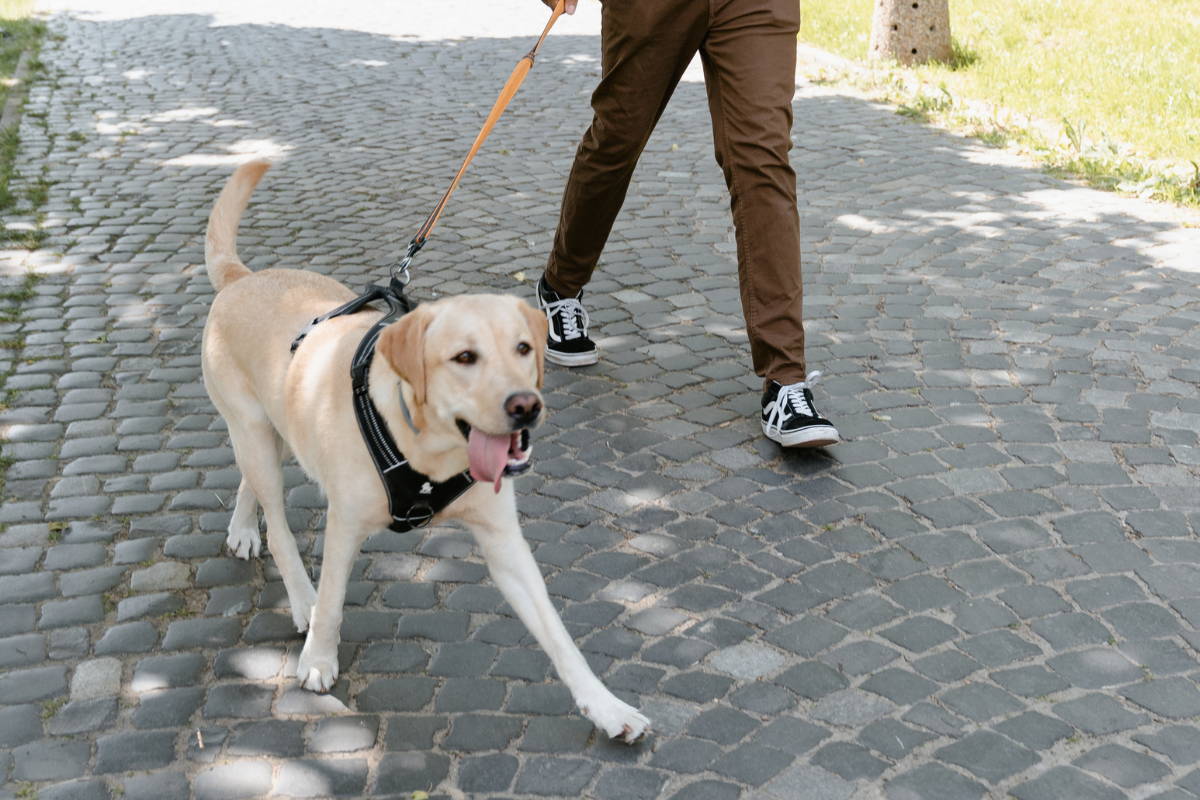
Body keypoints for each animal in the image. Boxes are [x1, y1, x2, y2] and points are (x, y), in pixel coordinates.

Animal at [199, 160, 648, 743]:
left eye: (524, 348)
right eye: (464, 357)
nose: (526, 406)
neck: (432, 448)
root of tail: (242, 277)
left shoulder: (503, 540)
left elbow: (559, 635)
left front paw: (607, 707)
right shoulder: (345, 525)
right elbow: (333, 602)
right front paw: (318, 659)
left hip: (271, 432)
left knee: (248, 480)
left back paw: (242, 529)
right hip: (255, 432)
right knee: (277, 524)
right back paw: (296, 591)